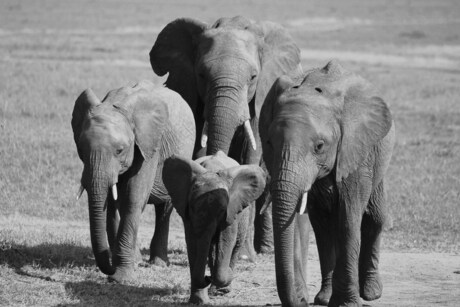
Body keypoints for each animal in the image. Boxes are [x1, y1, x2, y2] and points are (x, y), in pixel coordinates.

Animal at [72, 80, 196, 284]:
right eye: (81, 149)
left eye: (120, 150)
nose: (110, 269)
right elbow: (113, 201)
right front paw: (126, 265)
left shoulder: (149, 144)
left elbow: (133, 196)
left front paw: (121, 277)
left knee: (165, 208)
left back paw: (158, 264)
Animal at [149, 14, 304, 255]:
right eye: (202, 74)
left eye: (253, 77)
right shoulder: (191, 91)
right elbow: (198, 147)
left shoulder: (259, 100)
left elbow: (252, 152)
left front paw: (243, 256)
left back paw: (264, 250)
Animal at [164, 150, 266, 304]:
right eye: (192, 207)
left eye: (222, 211)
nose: (207, 278)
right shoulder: (188, 216)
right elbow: (193, 244)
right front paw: (199, 302)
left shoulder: (231, 211)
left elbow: (226, 241)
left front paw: (223, 279)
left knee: (234, 246)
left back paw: (223, 288)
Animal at [258, 60, 396, 307]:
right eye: (269, 142)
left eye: (320, 146)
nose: (300, 301)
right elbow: (322, 225)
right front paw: (327, 300)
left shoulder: (354, 151)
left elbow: (349, 220)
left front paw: (347, 303)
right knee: (329, 226)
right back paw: (327, 297)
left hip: (377, 157)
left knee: (375, 218)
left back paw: (371, 293)